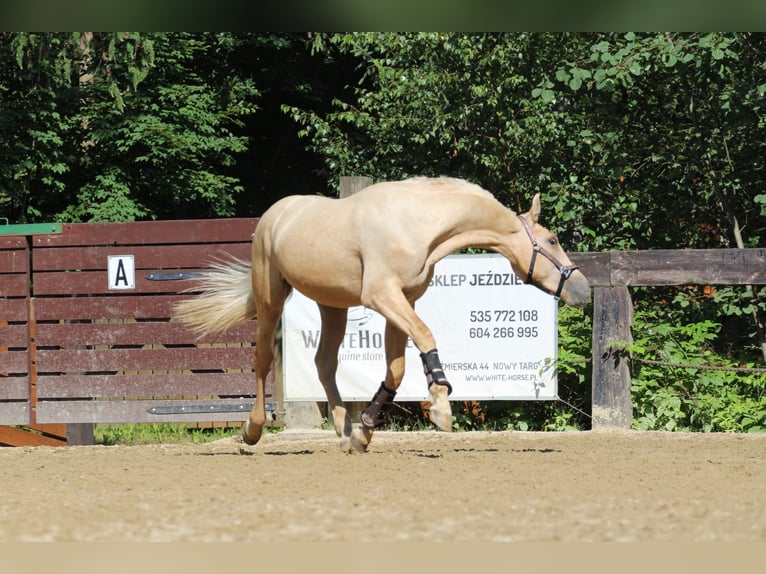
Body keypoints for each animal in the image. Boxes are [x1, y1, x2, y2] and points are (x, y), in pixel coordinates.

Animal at [176, 178, 592, 452]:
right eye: (553, 239)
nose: (583, 290)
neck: (419, 223)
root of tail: (275, 215)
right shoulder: (383, 296)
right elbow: (425, 338)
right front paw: (441, 407)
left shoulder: (402, 302)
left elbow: (396, 369)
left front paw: (365, 430)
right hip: (270, 299)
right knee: (263, 359)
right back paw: (252, 430)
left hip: (333, 305)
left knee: (324, 363)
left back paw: (344, 430)